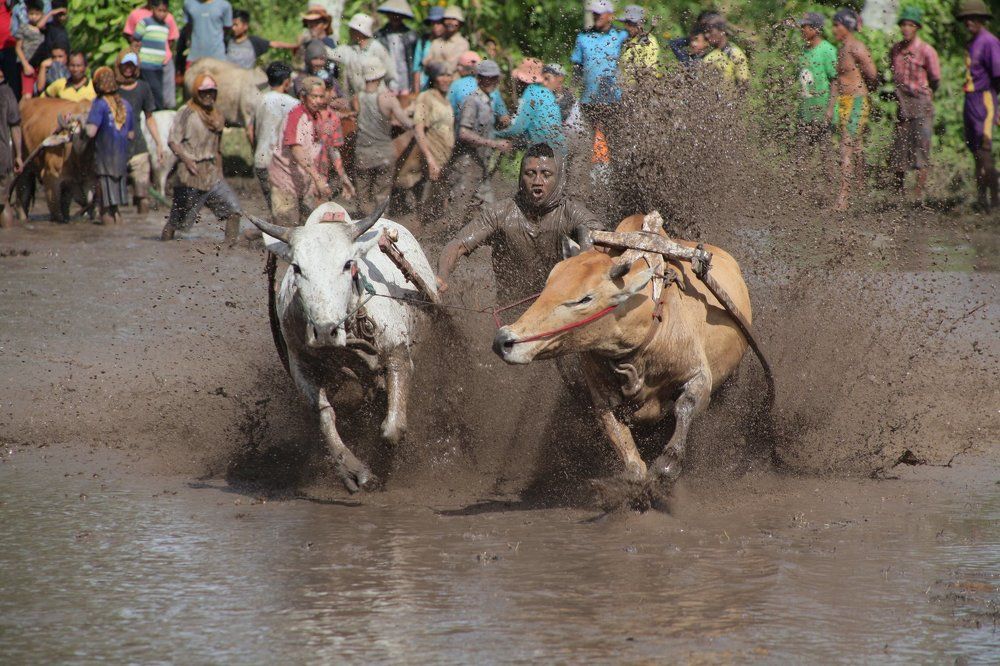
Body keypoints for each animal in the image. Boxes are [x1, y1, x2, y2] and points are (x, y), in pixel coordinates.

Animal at [245, 200, 438, 493]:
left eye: (348, 264)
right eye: (297, 267)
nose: (325, 331)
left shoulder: (397, 352)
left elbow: (392, 428)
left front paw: (384, 462)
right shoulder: (301, 366)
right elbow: (324, 415)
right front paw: (355, 471)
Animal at [493, 213, 755, 490]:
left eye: (585, 298)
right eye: (548, 283)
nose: (504, 340)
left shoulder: (699, 375)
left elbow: (686, 404)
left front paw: (668, 463)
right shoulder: (602, 398)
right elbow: (629, 458)